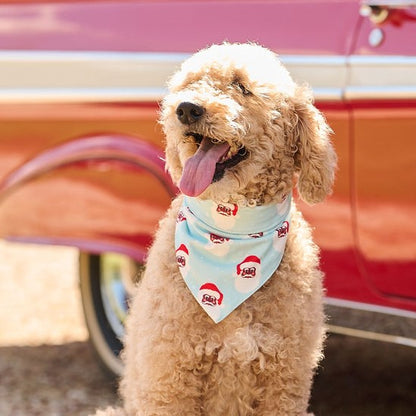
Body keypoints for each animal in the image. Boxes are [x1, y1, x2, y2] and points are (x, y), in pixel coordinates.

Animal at [93, 42, 334, 416]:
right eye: (190, 83)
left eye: (242, 87)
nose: (187, 109)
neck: (230, 233)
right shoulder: (169, 381)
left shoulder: (284, 383)